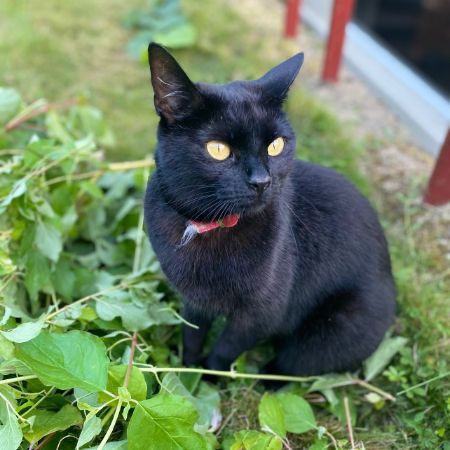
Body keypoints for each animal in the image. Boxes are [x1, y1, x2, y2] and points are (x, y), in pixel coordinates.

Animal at [144, 43, 396, 377]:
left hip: (328, 334)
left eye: (275, 145)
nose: (262, 181)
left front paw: (213, 377)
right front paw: (188, 370)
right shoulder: (194, 301)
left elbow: (225, 350)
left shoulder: (261, 315)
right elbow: (193, 334)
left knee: (292, 367)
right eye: (218, 149)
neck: (209, 226)